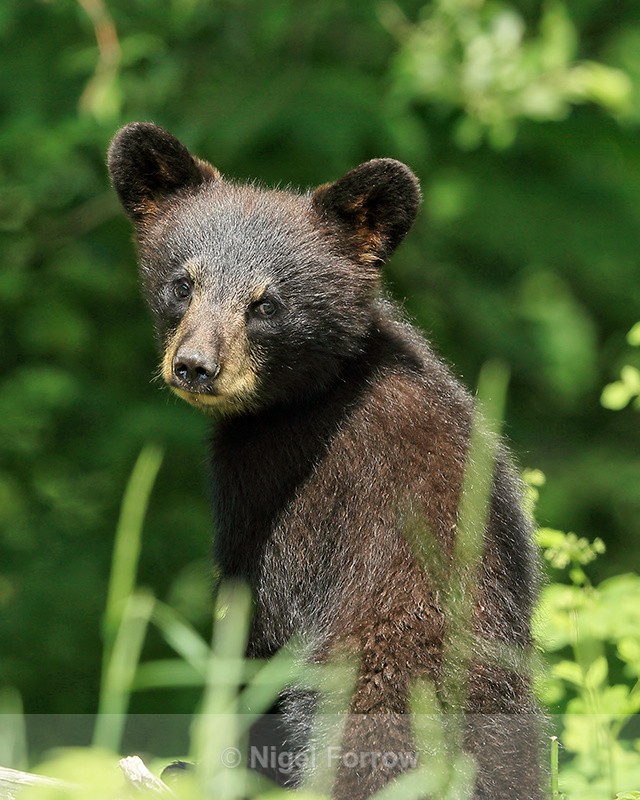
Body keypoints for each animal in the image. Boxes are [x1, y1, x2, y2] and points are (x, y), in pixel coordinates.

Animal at [107, 122, 541, 800]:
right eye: (183, 283)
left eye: (266, 303)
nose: (195, 366)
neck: (316, 391)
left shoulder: (282, 499)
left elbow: (255, 626)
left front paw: (209, 765)